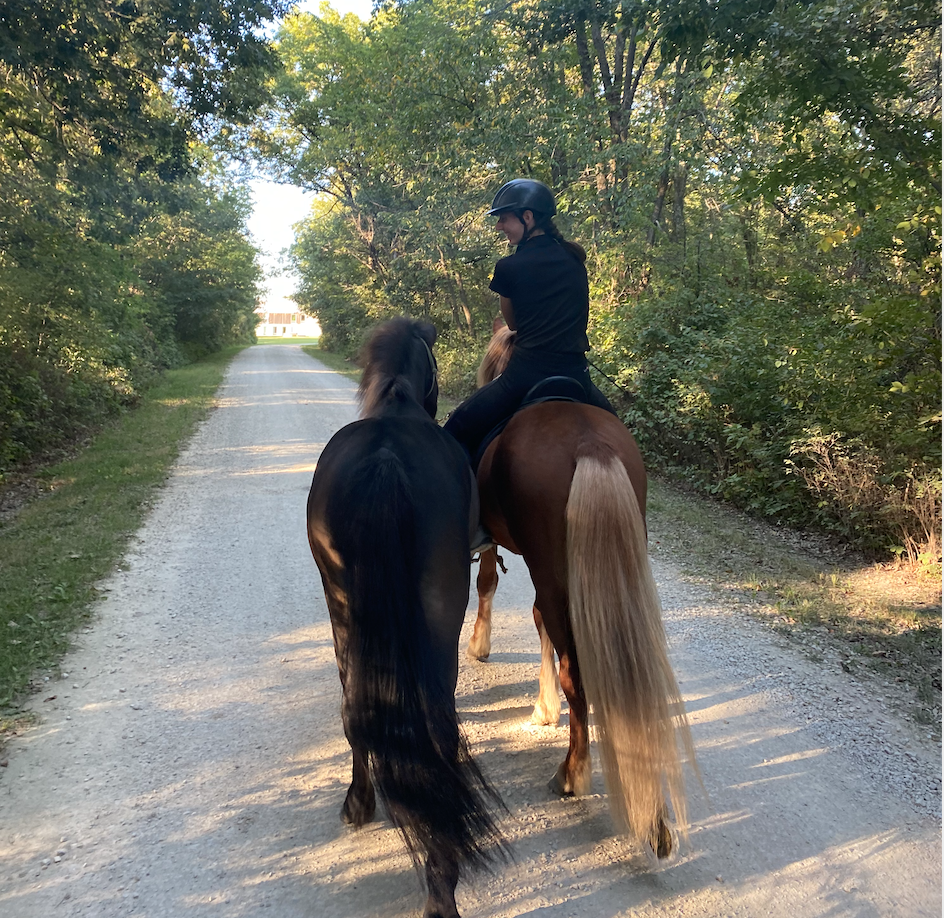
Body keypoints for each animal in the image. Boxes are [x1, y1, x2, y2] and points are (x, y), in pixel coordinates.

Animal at [306, 317, 506, 918]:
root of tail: (386, 461)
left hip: (343, 603)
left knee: (357, 708)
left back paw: (359, 803)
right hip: (439, 612)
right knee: (439, 727)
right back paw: (443, 885)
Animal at [466, 321, 697, 859]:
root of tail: (590, 443)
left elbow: (488, 581)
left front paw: (480, 646)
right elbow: (536, 620)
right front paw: (542, 706)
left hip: (552, 568)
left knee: (578, 672)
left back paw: (572, 775)